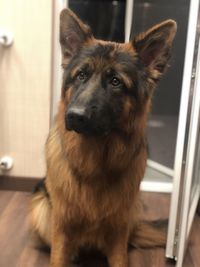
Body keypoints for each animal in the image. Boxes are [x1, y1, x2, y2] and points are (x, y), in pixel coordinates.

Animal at [29, 8, 177, 267]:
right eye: (81, 76)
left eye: (115, 81)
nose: (74, 116)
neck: (95, 164)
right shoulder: (62, 226)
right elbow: (59, 256)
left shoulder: (118, 230)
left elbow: (119, 258)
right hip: (41, 208)